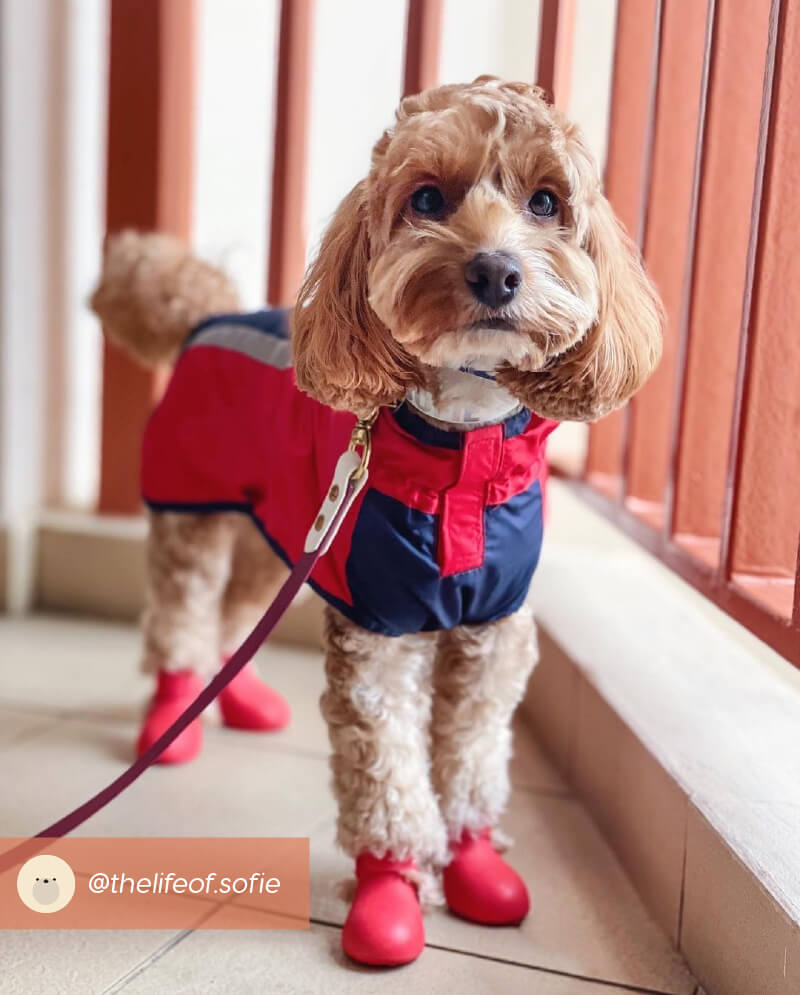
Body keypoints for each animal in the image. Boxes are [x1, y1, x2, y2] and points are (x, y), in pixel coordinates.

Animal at [92, 80, 664, 972]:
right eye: (427, 198)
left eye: (546, 202)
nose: (495, 270)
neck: (460, 452)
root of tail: (204, 316)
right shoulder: (379, 630)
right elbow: (388, 771)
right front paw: (391, 890)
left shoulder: (493, 630)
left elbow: (472, 755)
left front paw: (473, 861)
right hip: (196, 512)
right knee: (182, 613)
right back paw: (173, 715)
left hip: (287, 534)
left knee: (236, 612)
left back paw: (239, 695)